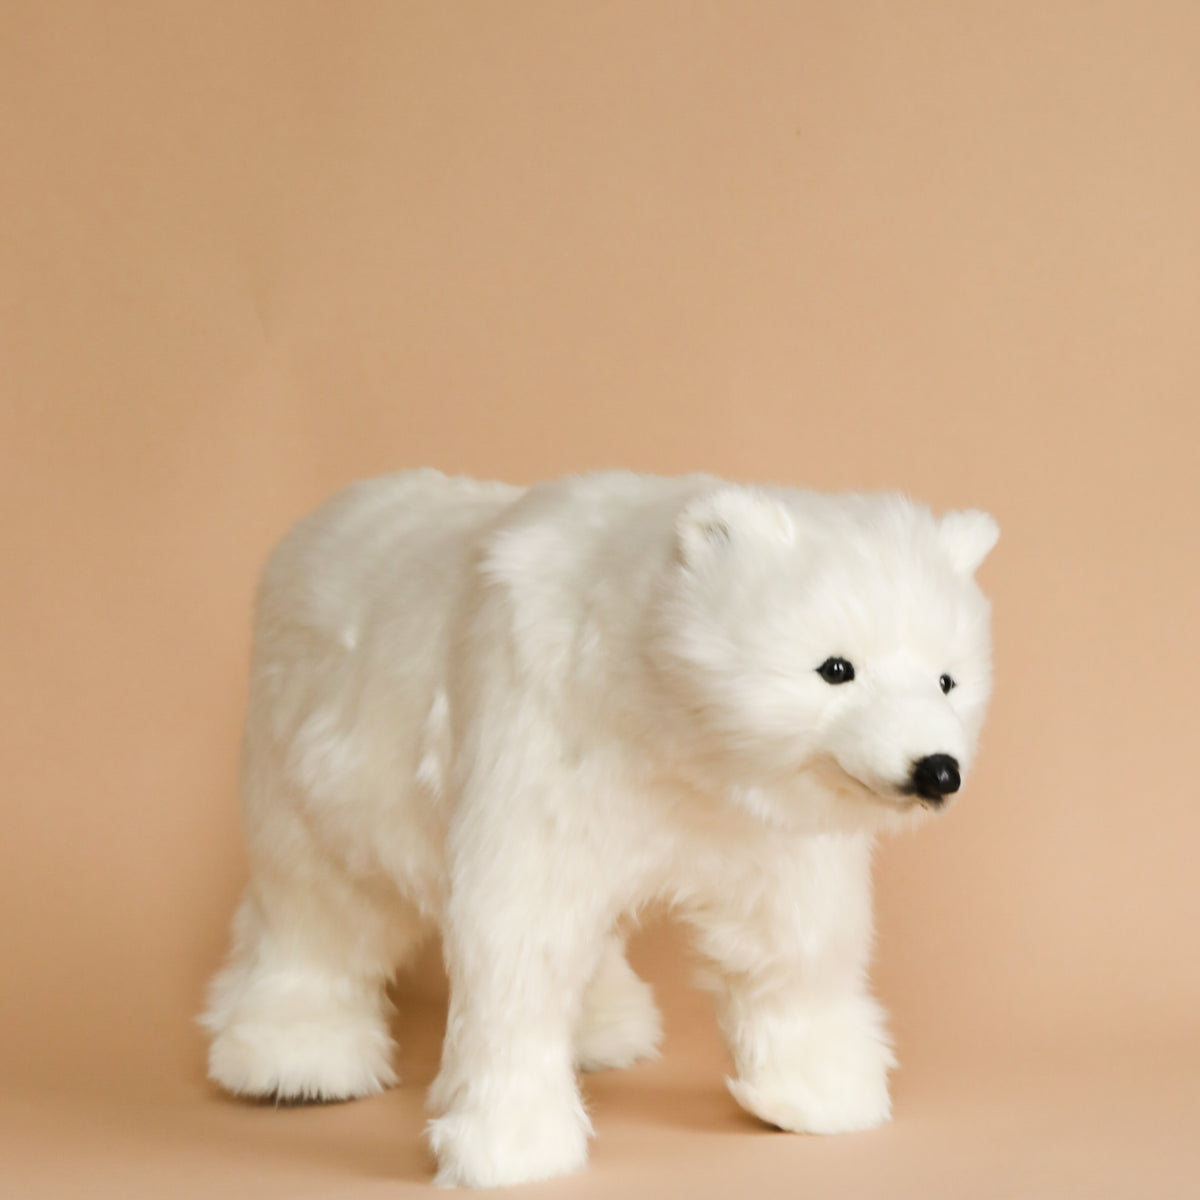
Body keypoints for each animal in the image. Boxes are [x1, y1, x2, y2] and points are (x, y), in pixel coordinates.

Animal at [201, 469, 998, 1188]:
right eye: (836, 667)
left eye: (947, 679)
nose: (936, 769)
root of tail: (313, 524)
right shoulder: (539, 739)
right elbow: (519, 942)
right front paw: (511, 1148)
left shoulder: (757, 824)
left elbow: (793, 940)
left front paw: (823, 1095)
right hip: (310, 758)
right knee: (318, 904)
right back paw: (296, 1061)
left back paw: (606, 1031)